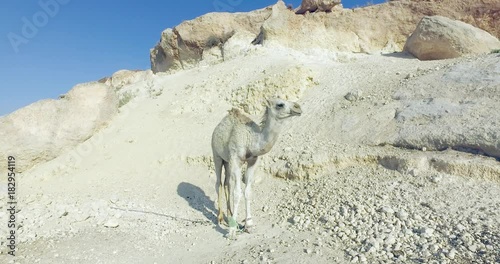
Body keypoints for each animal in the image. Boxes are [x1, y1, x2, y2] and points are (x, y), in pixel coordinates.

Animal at [210, 98, 300, 238]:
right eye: (280, 104)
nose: (298, 107)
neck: (252, 140)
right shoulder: (236, 160)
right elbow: (237, 192)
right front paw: (232, 231)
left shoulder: (252, 160)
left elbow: (248, 191)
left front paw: (249, 225)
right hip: (217, 155)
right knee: (218, 183)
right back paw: (220, 218)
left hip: (227, 161)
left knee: (226, 183)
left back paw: (230, 215)